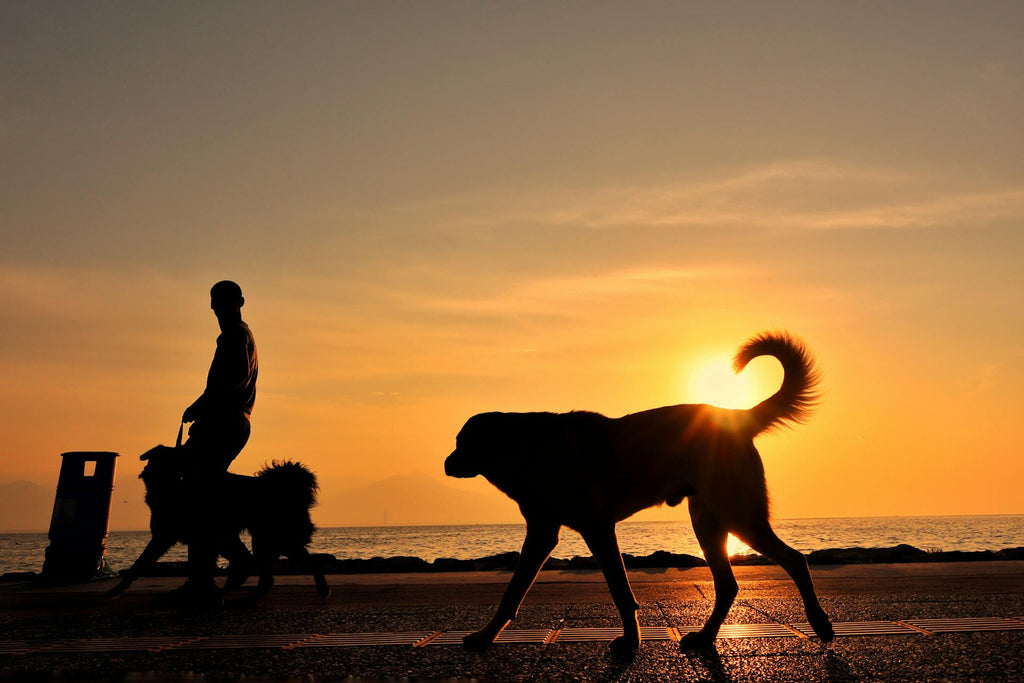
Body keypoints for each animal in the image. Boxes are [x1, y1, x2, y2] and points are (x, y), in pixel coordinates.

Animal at [446, 331, 831, 655]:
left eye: (462, 443)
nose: (446, 464)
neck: (526, 448)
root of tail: (738, 417)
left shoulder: (597, 530)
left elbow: (620, 591)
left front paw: (631, 641)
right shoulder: (543, 533)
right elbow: (512, 592)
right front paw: (484, 636)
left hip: (739, 515)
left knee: (795, 559)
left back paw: (820, 623)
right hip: (708, 521)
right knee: (728, 585)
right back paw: (705, 637)